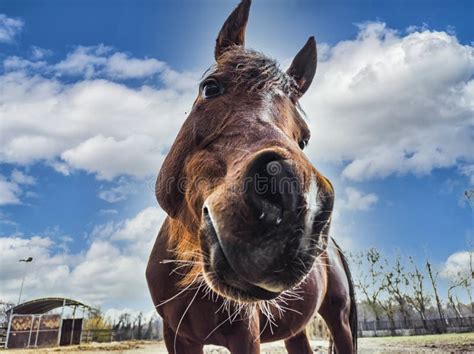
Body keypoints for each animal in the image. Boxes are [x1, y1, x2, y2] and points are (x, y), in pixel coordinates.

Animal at [146, 1, 358, 352]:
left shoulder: (246, 334)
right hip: (296, 329)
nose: (298, 204)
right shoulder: (175, 337)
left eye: (304, 138)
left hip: (338, 317)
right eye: (210, 87)